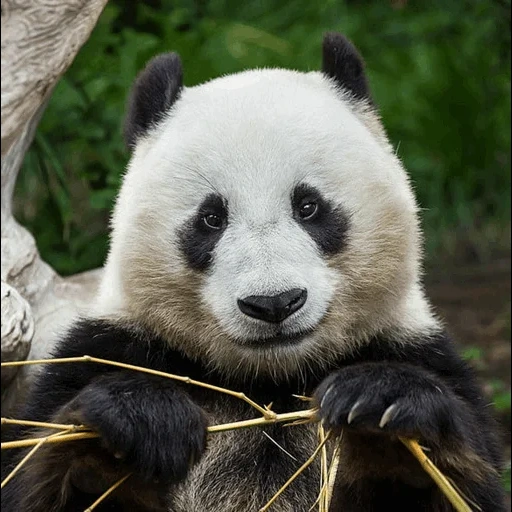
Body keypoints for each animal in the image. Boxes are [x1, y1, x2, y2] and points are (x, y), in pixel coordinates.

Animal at [2, 33, 506, 512]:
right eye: (211, 218)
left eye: (308, 206)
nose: (274, 303)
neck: (269, 383)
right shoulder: (110, 349)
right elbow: (37, 475)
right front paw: (143, 419)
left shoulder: (413, 349)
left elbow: (460, 482)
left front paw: (379, 403)